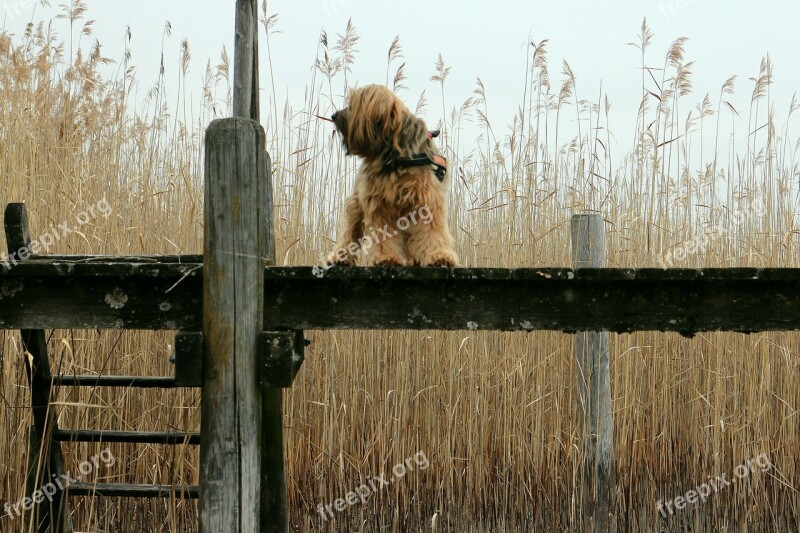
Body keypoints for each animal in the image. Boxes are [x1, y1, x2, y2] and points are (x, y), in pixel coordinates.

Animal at [324, 85, 460, 268]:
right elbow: (383, 232)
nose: (334, 115)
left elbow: (432, 229)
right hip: (356, 204)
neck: (396, 156)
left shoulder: (427, 198)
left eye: (352, 105)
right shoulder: (379, 202)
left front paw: (439, 256)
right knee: (350, 230)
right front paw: (387, 257)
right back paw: (340, 255)